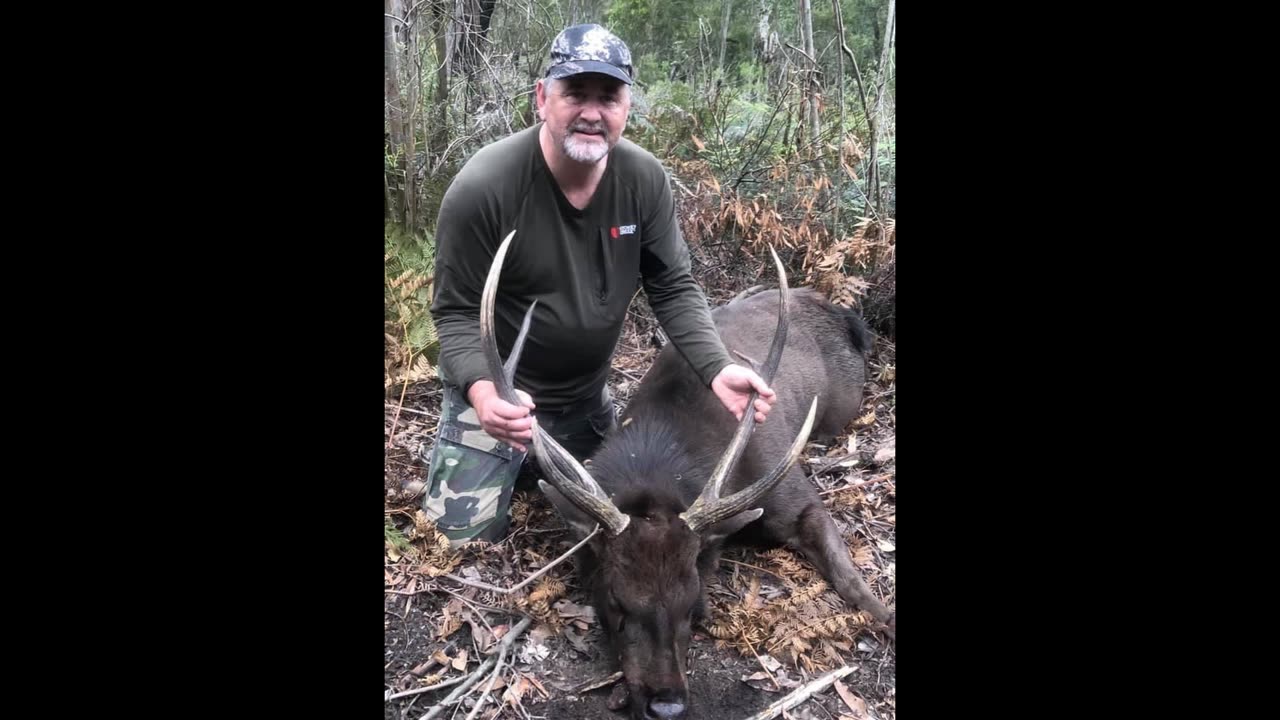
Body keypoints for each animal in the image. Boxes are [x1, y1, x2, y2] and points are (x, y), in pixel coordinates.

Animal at [481, 230, 901, 717]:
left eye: (693, 604)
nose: (666, 704)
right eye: (616, 601)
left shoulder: (794, 495)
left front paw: (888, 617)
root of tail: (844, 314)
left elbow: (850, 578)